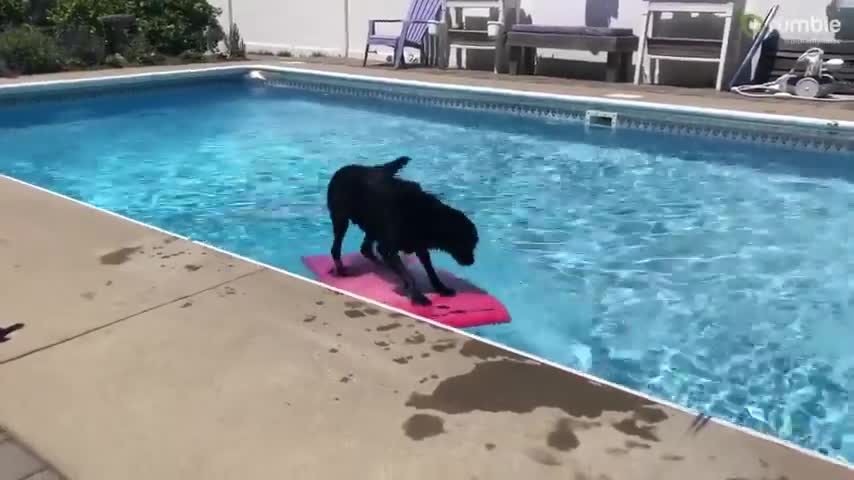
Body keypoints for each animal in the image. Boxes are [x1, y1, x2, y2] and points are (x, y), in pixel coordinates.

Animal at [326, 156, 478, 306]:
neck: (428, 216)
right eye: (467, 243)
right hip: (342, 220)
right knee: (336, 248)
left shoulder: (419, 246)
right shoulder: (388, 247)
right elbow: (409, 275)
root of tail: (344, 169)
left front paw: (441, 288)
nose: (472, 261)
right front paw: (417, 296)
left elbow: (430, 271)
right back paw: (341, 269)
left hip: (373, 224)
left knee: (366, 248)